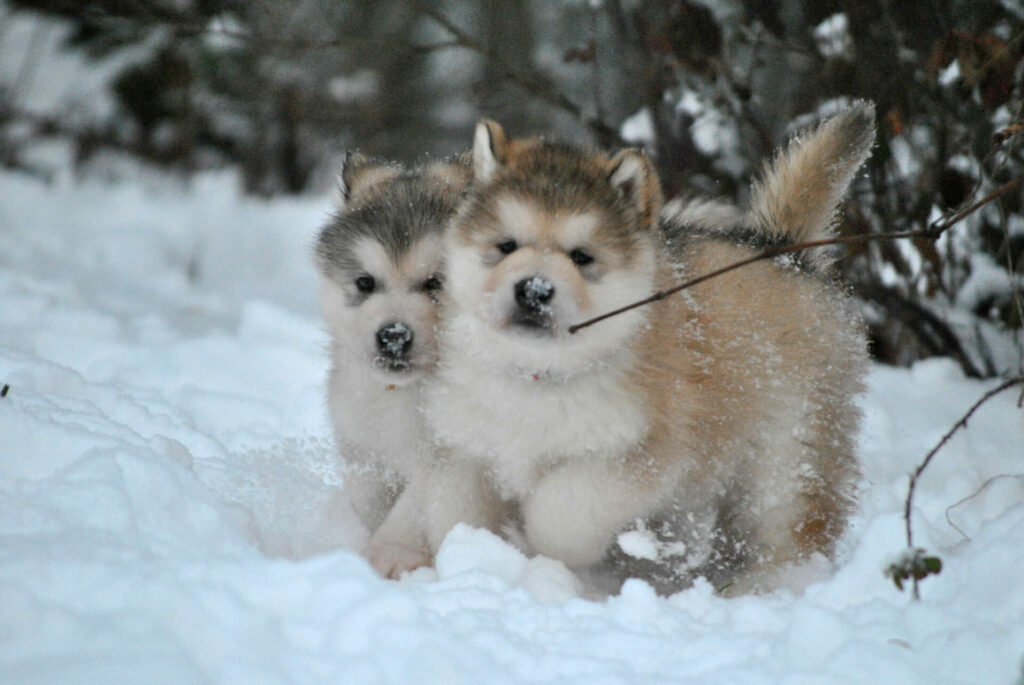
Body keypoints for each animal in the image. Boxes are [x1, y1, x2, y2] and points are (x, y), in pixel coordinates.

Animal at [419, 101, 876, 593]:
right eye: (506, 246)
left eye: (581, 256)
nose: (534, 290)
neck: (538, 375)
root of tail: (787, 251)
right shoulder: (467, 444)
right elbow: (455, 510)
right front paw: (473, 557)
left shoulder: (638, 453)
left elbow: (563, 508)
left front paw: (537, 542)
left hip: (789, 451)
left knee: (792, 527)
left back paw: (761, 586)